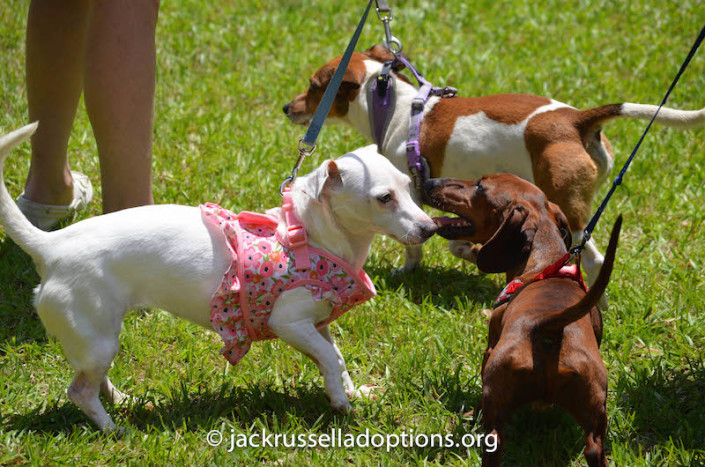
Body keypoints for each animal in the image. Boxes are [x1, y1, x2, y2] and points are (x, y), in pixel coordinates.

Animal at [0, 122, 434, 434]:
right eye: (384, 198)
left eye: (409, 187)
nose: (431, 228)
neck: (314, 236)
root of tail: (51, 246)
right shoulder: (288, 322)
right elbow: (329, 357)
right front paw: (340, 402)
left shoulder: (317, 323)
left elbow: (336, 358)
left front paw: (348, 390)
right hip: (96, 338)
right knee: (79, 391)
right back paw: (113, 429)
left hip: (99, 339)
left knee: (93, 382)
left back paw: (122, 402)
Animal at [286, 44, 704, 286]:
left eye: (314, 86)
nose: (287, 107)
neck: (392, 106)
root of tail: (577, 120)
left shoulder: (412, 196)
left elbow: (415, 240)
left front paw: (410, 269)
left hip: (568, 207)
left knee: (593, 258)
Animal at [424, 176, 616, 467]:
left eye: (480, 186)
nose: (430, 181)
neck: (544, 262)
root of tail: (549, 329)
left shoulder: (489, 347)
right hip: (595, 406)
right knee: (594, 447)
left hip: (496, 390)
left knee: (493, 440)